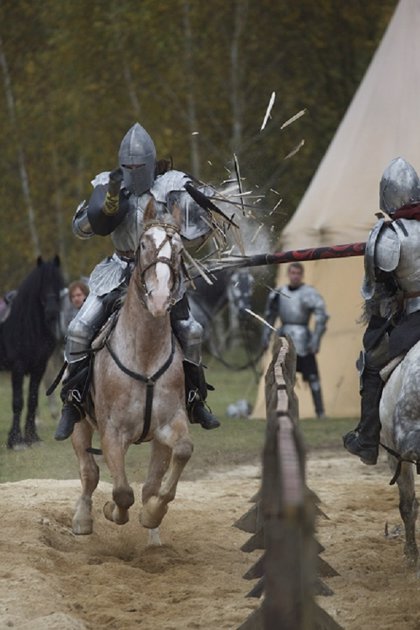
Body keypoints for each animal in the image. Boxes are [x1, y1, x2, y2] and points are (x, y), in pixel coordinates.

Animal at [0, 256, 64, 450]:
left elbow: (32, 400)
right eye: (42, 283)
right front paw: (15, 440)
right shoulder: (18, 368)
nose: (52, 311)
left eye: (59, 282)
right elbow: (18, 402)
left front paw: (32, 437)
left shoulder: (39, 367)